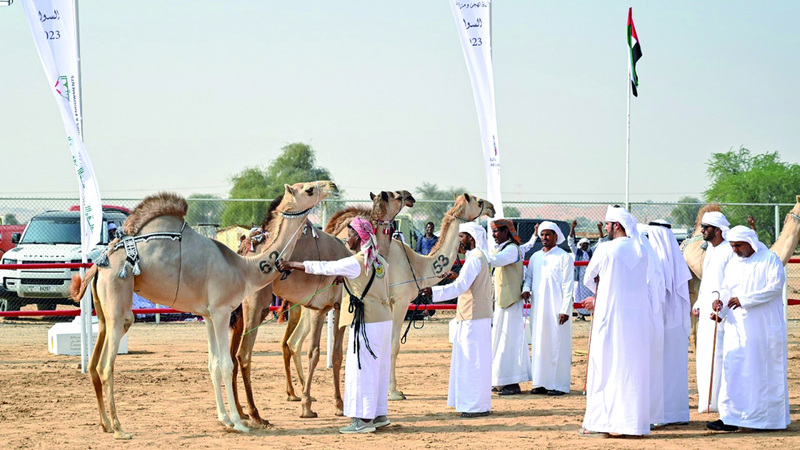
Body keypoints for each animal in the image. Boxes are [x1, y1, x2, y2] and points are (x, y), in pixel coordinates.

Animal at [69, 180, 340, 440]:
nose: (332, 185)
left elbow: (213, 363)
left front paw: (224, 419)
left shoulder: (208, 315)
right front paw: (238, 423)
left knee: (94, 363)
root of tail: (98, 264)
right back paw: (119, 429)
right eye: (309, 189)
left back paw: (105, 424)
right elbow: (226, 364)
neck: (244, 268)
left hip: (103, 308)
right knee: (106, 364)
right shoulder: (221, 311)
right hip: (119, 300)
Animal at [225, 190, 412, 422]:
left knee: (233, 355)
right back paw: (256, 414)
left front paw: (311, 404)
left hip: (240, 308)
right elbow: (331, 354)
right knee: (244, 354)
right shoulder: (338, 306)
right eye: (396, 196)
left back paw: (240, 412)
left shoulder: (320, 308)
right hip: (257, 302)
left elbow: (319, 353)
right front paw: (333, 406)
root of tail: (244, 248)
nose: (410, 196)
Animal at [324, 193, 494, 400]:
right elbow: (394, 345)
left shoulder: (387, 304)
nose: (492, 207)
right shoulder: (400, 301)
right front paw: (394, 392)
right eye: (478, 201)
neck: (418, 266)